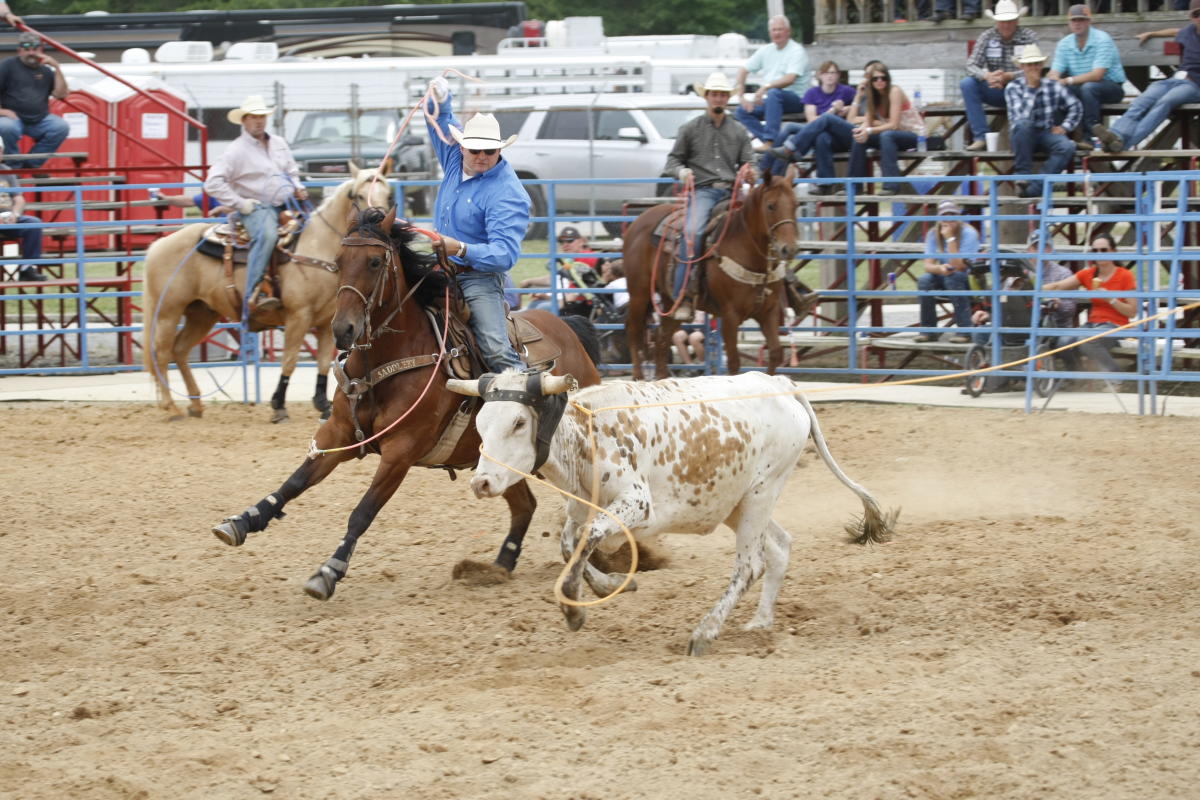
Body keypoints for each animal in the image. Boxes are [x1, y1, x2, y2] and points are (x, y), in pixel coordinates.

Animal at [140, 164, 393, 424]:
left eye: (389, 194)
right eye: (358, 195)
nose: (380, 227)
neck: (317, 245)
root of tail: (157, 245)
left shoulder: (327, 323)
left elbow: (323, 362)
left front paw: (323, 405)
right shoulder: (298, 316)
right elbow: (290, 360)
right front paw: (278, 405)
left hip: (201, 314)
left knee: (180, 350)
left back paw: (196, 405)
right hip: (167, 312)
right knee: (161, 354)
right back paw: (172, 408)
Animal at [208, 206, 600, 599]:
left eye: (375, 261)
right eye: (337, 261)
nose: (343, 330)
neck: (386, 362)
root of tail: (571, 332)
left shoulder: (401, 451)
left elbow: (363, 511)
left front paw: (329, 570)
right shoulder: (337, 433)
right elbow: (295, 482)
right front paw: (243, 520)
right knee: (524, 506)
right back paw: (498, 568)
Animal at [624, 164, 801, 381]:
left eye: (795, 205)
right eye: (770, 206)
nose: (789, 249)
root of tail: (639, 221)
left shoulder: (769, 311)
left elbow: (775, 353)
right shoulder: (730, 315)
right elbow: (734, 361)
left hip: (670, 302)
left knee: (661, 339)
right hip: (638, 294)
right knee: (634, 331)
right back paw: (638, 376)